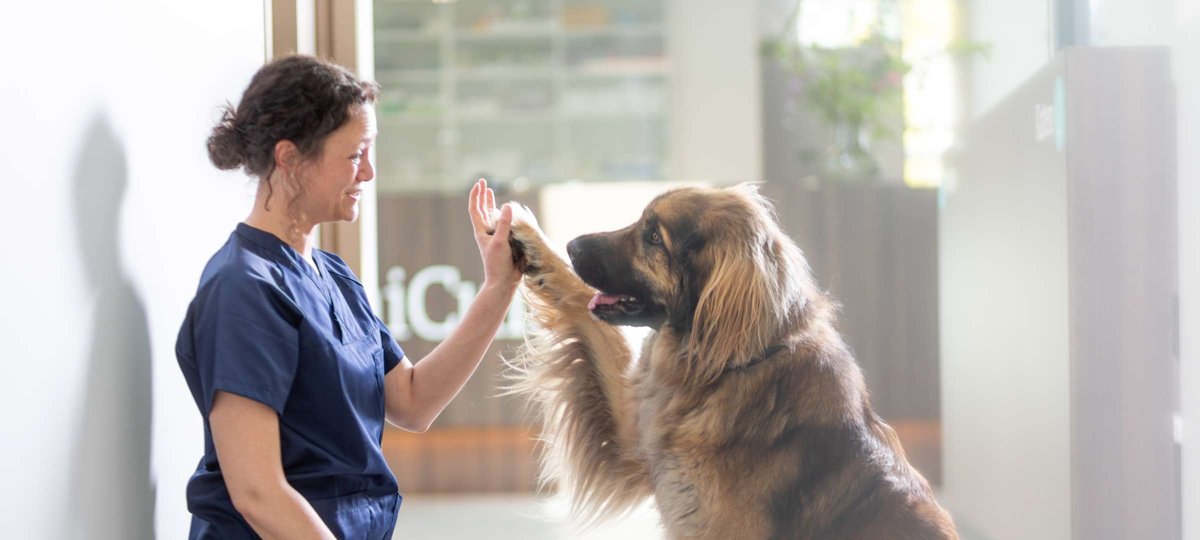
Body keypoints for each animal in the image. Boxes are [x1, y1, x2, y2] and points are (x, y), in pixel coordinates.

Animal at [501, 186, 960, 540]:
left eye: (654, 237)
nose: (572, 246)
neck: (734, 367)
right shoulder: (634, 435)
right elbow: (581, 303)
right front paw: (530, 239)